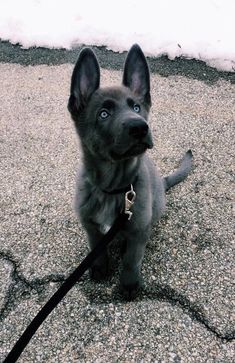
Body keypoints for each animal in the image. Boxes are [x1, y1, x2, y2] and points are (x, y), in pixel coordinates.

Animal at [68, 44, 193, 300]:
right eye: (103, 114)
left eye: (136, 107)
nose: (140, 127)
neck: (113, 189)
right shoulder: (91, 227)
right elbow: (96, 248)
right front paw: (100, 268)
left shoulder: (137, 231)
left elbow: (131, 259)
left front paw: (129, 284)